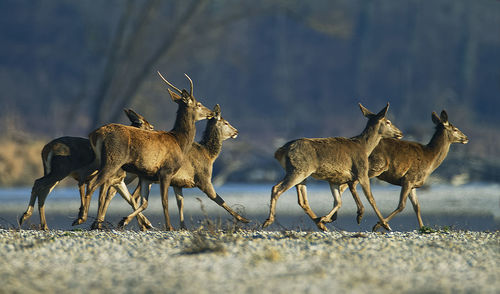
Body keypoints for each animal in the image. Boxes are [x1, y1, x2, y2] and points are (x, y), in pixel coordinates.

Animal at [19, 108, 154, 230]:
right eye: (149, 126)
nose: (153, 130)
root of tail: (45, 149)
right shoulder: (109, 178)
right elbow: (103, 198)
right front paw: (95, 223)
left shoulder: (118, 180)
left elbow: (130, 199)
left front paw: (145, 224)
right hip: (61, 170)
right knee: (38, 183)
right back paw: (25, 217)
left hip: (53, 172)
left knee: (44, 191)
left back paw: (44, 225)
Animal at [81, 70, 213, 230]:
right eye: (199, 104)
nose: (211, 112)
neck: (180, 142)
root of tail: (95, 134)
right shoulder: (166, 171)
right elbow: (164, 201)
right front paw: (169, 227)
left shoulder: (146, 176)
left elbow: (144, 202)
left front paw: (125, 220)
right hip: (112, 160)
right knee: (94, 184)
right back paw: (84, 219)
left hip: (97, 160)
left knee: (85, 180)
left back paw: (86, 218)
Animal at [94, 104, 250, 230]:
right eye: (226, 122)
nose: (236, 131)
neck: (209, 155)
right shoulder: (203, 178)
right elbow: (218, 199)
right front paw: (244, 219)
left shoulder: (178, 183)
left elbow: (180, 203)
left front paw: (183, 226)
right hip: (131, 173)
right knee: (114, 188)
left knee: (116, 190)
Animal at [262, 103, 402, 232]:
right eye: (388, 121)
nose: (400, 133)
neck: (365, 148)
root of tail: (280, 151)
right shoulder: (362, 172)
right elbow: (371, 199)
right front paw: (385, 224)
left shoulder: (334, 179)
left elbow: (338, 201)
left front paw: (326, 218)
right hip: (298, 170)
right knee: (277, 188)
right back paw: (268, 221)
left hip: (300, 174)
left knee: (302, 200)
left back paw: (320, 224)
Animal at [334, 109, 470, 231]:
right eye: (455, 129)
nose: (466, 138)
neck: (430, 159)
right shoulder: (409, 178)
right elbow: (402, 206)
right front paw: (378, 225)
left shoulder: (413, 184)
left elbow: (417, 206)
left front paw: (423, 228)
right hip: (373, 167)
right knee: (350, 184)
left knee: (342, 186)